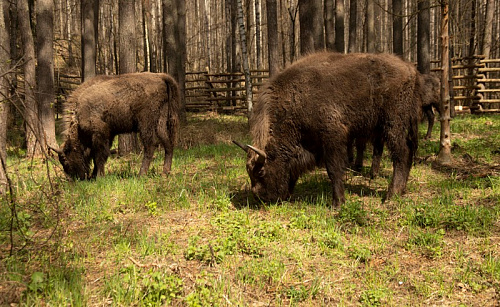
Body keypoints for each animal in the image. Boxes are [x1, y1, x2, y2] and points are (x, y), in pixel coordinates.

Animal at [236, 52, 424, 207]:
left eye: (261, 172)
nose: (259, 197)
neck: (294, 99)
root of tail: (410, 69)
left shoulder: (332, 138)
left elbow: (333, 170)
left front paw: (338, 203)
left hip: (393, 125)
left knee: (401, 154)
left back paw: (390, 195)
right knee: (408, 152)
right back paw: (401, 191)